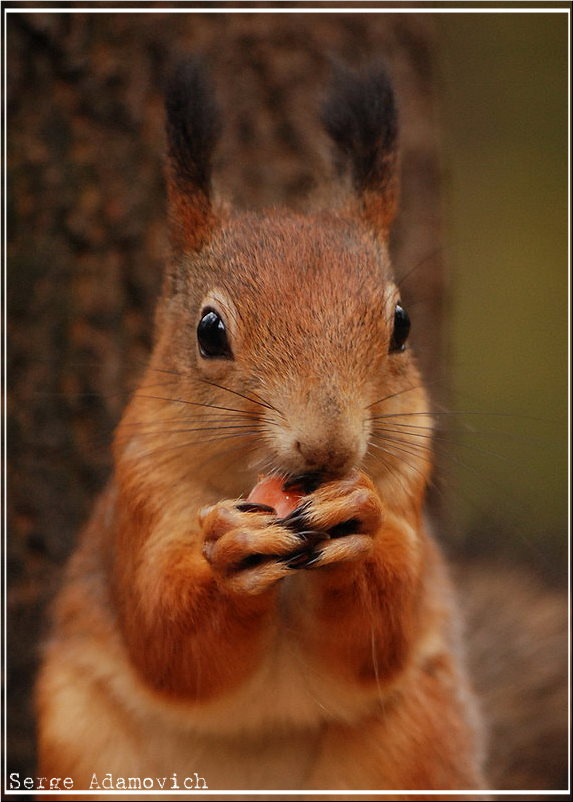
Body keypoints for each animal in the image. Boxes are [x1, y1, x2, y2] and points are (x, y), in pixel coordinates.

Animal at [35, 60, 488, 798]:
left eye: (401, 324)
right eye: (209, 331)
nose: (328, 447)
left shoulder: (407, 487)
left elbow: (382, 631)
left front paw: (356, 517)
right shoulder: (139, 494)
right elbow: (164, 636)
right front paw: (230, 553)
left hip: (417, 739)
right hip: (84, 745)